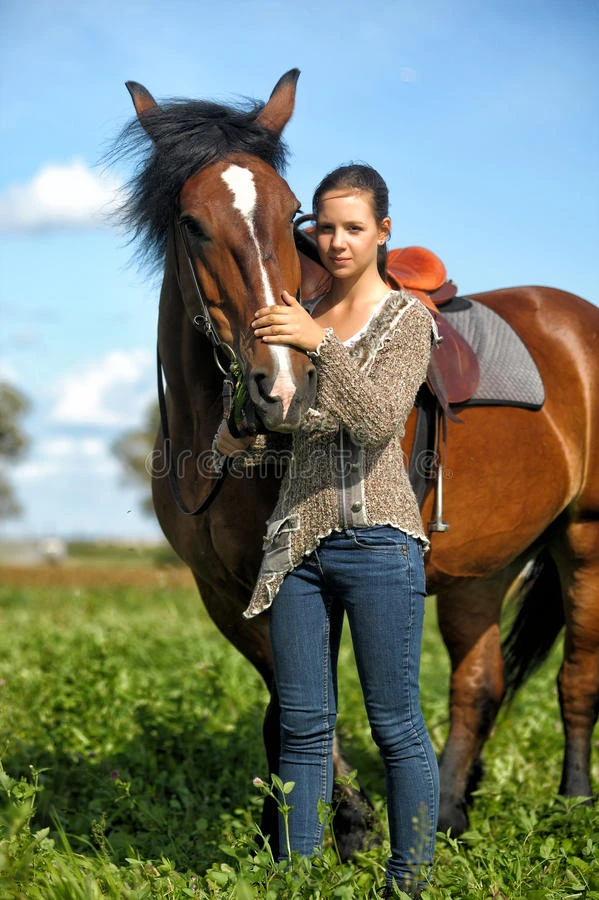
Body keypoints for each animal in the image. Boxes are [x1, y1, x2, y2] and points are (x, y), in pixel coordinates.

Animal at [116, 70, 599, 852]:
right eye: (192, 223)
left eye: (291, 213)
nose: (281, 386)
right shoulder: (225, 592)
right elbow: (287, 705)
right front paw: (291, 825)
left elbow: (304, 702)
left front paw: (348, 826)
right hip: (482, 568)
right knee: (479, 682)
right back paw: (447, 812)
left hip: (583, 539)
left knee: (577, 675)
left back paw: (573, 802)